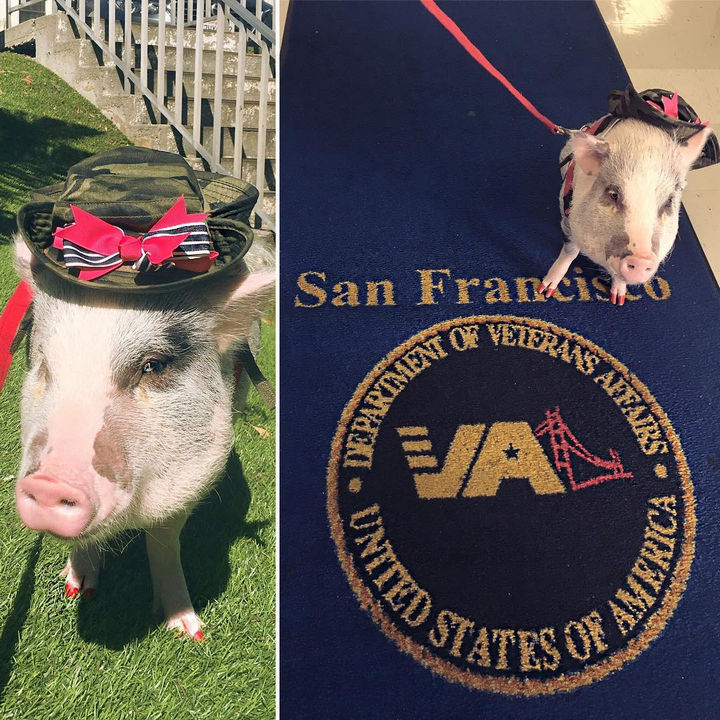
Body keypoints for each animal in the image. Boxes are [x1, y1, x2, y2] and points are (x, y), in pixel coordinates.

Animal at [11, 236, 276, 640]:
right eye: (45, 365)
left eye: (153, 365)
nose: (47, 484)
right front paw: (78, 590)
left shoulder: (194, 471)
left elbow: (164, 542)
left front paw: (189, 632)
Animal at [536, 120, 712, 304]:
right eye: (614, 194)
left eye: (669, 201)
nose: (641, 259)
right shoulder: (568, 215)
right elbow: (569, 252)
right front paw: (545, 291)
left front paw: (618, 300)